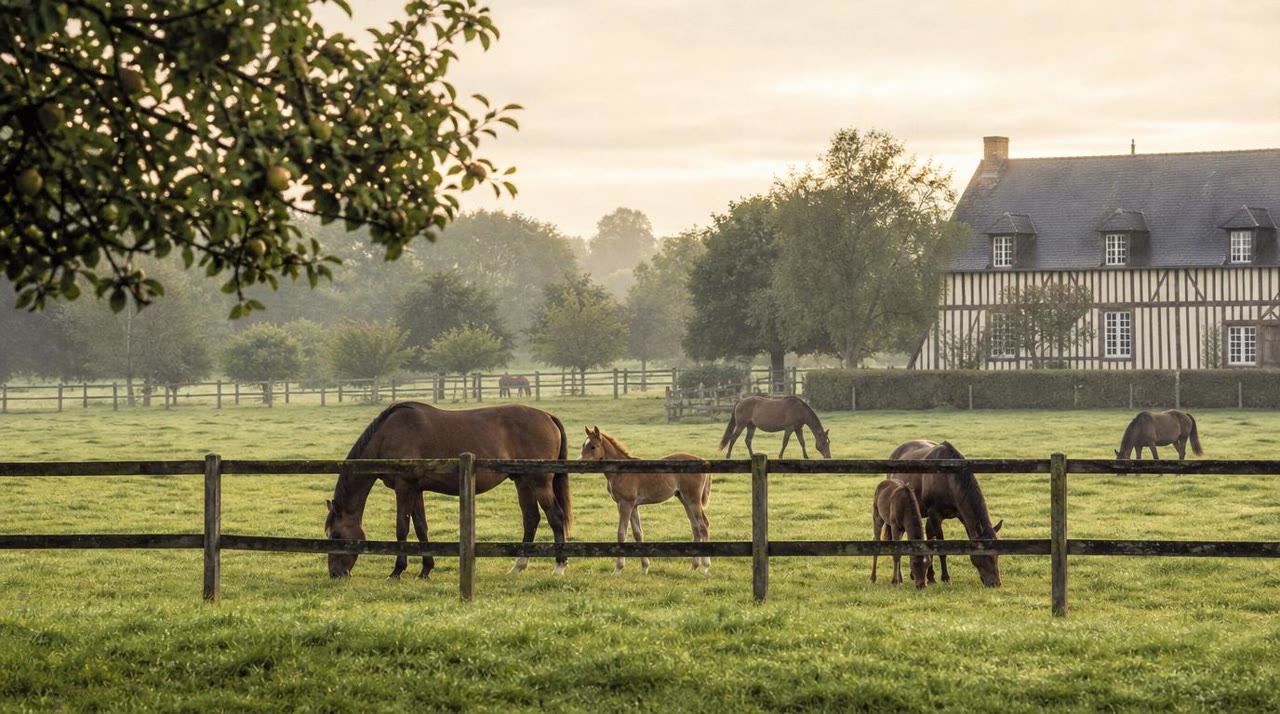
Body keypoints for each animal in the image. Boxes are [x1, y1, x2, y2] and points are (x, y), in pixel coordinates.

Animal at [325, 402, 573, 579]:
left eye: (336, 535)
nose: (336, 574)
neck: (389, 435)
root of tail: (548, 417)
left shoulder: (404, 488)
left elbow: (402, 529)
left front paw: (397, 571)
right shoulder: (416, 489)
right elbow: (421, 528)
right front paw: (425, 570)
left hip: (539, 482)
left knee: (555, 517)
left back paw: (559, 566)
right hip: (522, 481)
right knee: (531, 519)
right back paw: (518, 566)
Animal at [579, 426, 711, 574]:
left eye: (593, 447)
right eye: (583, 445)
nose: (579, 462)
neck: (621, 472)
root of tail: (702, 459)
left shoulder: (625, 504)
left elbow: (621, 533)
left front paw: (618, 569)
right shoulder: (633, 505)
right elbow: (638, 534)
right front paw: (644, 568)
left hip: (693, 500)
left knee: (703, 526)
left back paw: (705, 567)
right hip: (684, 499)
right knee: (695, 527)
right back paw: (693, 567)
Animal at [889, 439, 1003, 587]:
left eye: (998, 554)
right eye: (984, 555)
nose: (995, 583)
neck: (948, 478)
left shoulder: (962, 516)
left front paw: (931, 576)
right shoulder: (935, 514)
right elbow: (941, 547)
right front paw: (945, 577)